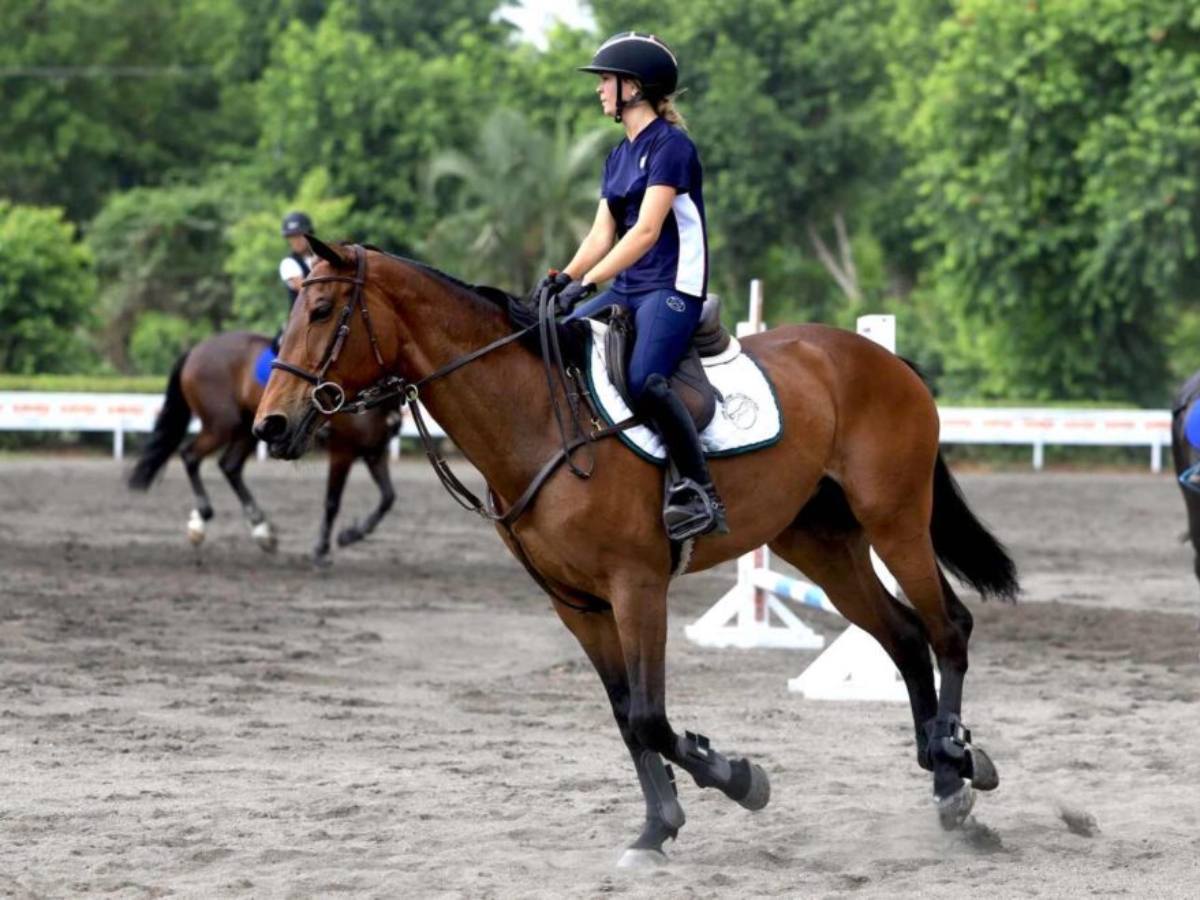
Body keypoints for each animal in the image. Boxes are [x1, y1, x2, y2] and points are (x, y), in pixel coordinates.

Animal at [128, 330, 398, 564]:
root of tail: (196, 350)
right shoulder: (343, 451)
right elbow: (332, 502)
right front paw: (322, 550)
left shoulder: (375, 451)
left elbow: (388, 497)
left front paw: (352, 534)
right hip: (221, 426)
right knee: (190, 455)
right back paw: (202, 519)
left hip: (246, 428)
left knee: (230, 466)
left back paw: (261, 529)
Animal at [253, 239, 1019, 866]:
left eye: (320, 309)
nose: (272, 426)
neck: (536, 417)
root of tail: (883, 359)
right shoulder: (578, 605)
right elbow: (628, 717)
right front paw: (658, 828)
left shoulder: (637, 587)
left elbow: (651, 715)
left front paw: (740, 779)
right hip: (822, 546)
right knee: (904, 635)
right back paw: (948, 774)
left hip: (895, 519)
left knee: (948, 629)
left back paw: (957, 768)